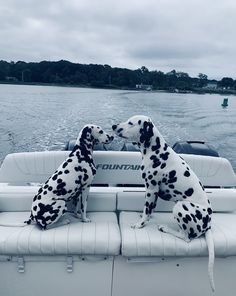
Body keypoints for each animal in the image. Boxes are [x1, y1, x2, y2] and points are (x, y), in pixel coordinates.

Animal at [112, 115, 216, 292]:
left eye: (131, 123)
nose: (113, 126)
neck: (157, 152)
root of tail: (207, 223)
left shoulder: (151, 189)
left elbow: (147, 209)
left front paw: (140, 224)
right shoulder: (152, 193)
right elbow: (149, 209)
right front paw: (145, 218)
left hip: (180, 206)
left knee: (186, 237)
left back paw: (166, 228)